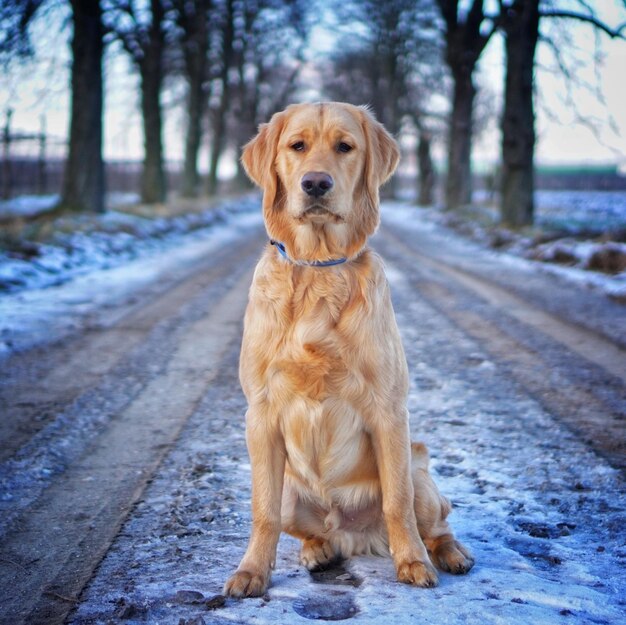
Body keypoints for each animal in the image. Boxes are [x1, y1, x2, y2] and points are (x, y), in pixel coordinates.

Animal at [222, 101, 470, 596]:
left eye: (345, 147)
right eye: (297, 146)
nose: (316, 183)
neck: (318, 267)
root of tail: (356, 536)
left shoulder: (389, 410)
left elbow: (397, 503)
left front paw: (412, 562)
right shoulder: (260, 413)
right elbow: (262, 511)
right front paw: (252, 571)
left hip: (418, 468)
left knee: (434, 522)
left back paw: (448, 554)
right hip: (292, 491)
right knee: (304, 527)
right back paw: (316, 550)